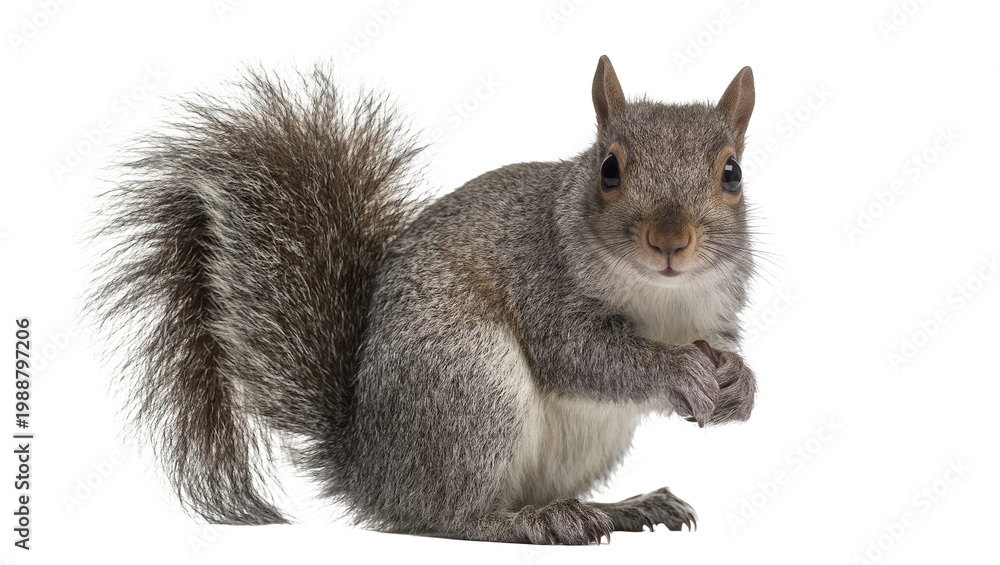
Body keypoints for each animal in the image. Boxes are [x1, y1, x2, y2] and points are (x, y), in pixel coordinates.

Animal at [89, 55, 758, 545]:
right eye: (609, 169)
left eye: (732, 173)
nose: (669, 242)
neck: (659, 298)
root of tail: (370, 465)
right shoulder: (542, 282)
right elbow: (583, 354)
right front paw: (674, 371)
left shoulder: (715, 309)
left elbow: (721, 348)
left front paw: (740, 386)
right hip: (467, 383)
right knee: (446, 516)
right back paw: (532, 521)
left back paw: (621, 507)